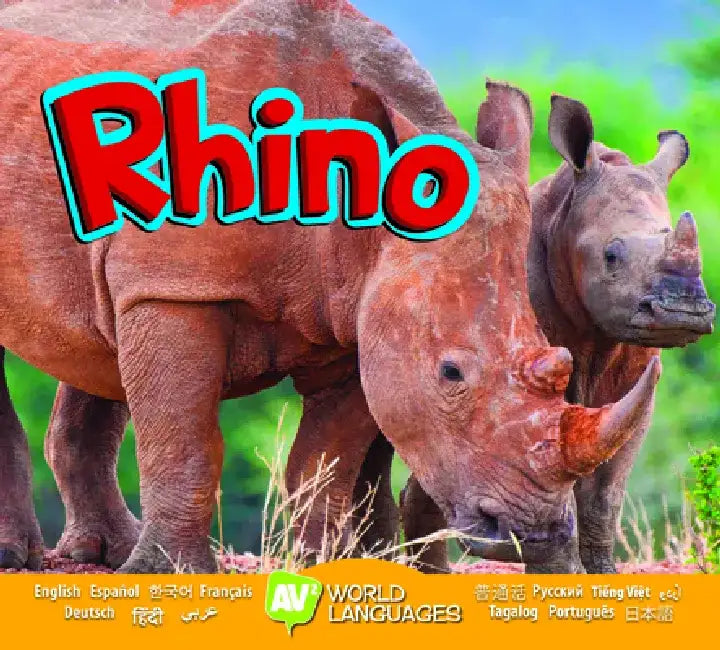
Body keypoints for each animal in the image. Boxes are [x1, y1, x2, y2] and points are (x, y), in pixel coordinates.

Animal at [0, 0, 657, 573]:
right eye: (450, 374)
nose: (534, 532)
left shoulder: (356, 313)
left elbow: (324, 462)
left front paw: (322, 567)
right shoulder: (176, 287)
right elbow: (187, 442)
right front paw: (170, 574)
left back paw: (101, 556)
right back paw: (31, 560)